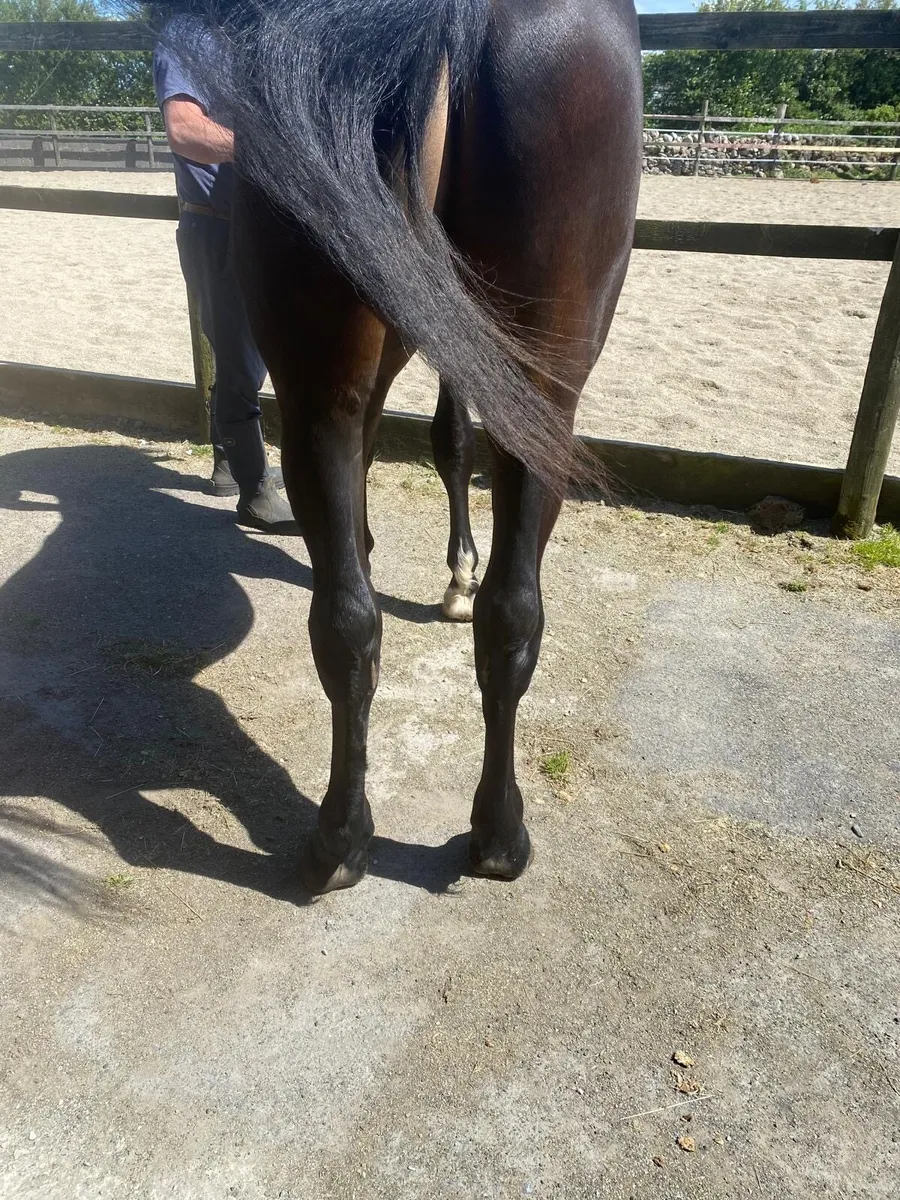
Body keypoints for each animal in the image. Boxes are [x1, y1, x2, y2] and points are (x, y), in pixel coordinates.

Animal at [156, 0, 643, 894]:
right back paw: (494, 837)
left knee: (353, 617)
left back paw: (345, 840)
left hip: (332, 384)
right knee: (499, 607)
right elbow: (452, 442)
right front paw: (456, 574)